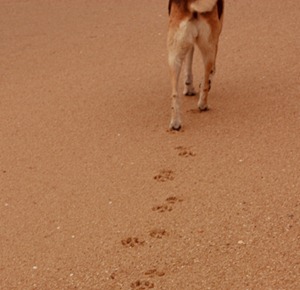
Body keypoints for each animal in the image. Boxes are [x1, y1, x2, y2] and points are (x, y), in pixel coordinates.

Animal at [168, 0, 224, 130]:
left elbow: (189, 63)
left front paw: (189, 88)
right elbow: (212, 72)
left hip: (173, 56)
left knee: (174, 94)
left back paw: (175, 123)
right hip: (209, 48)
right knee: (207, 77)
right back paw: (203, 105)